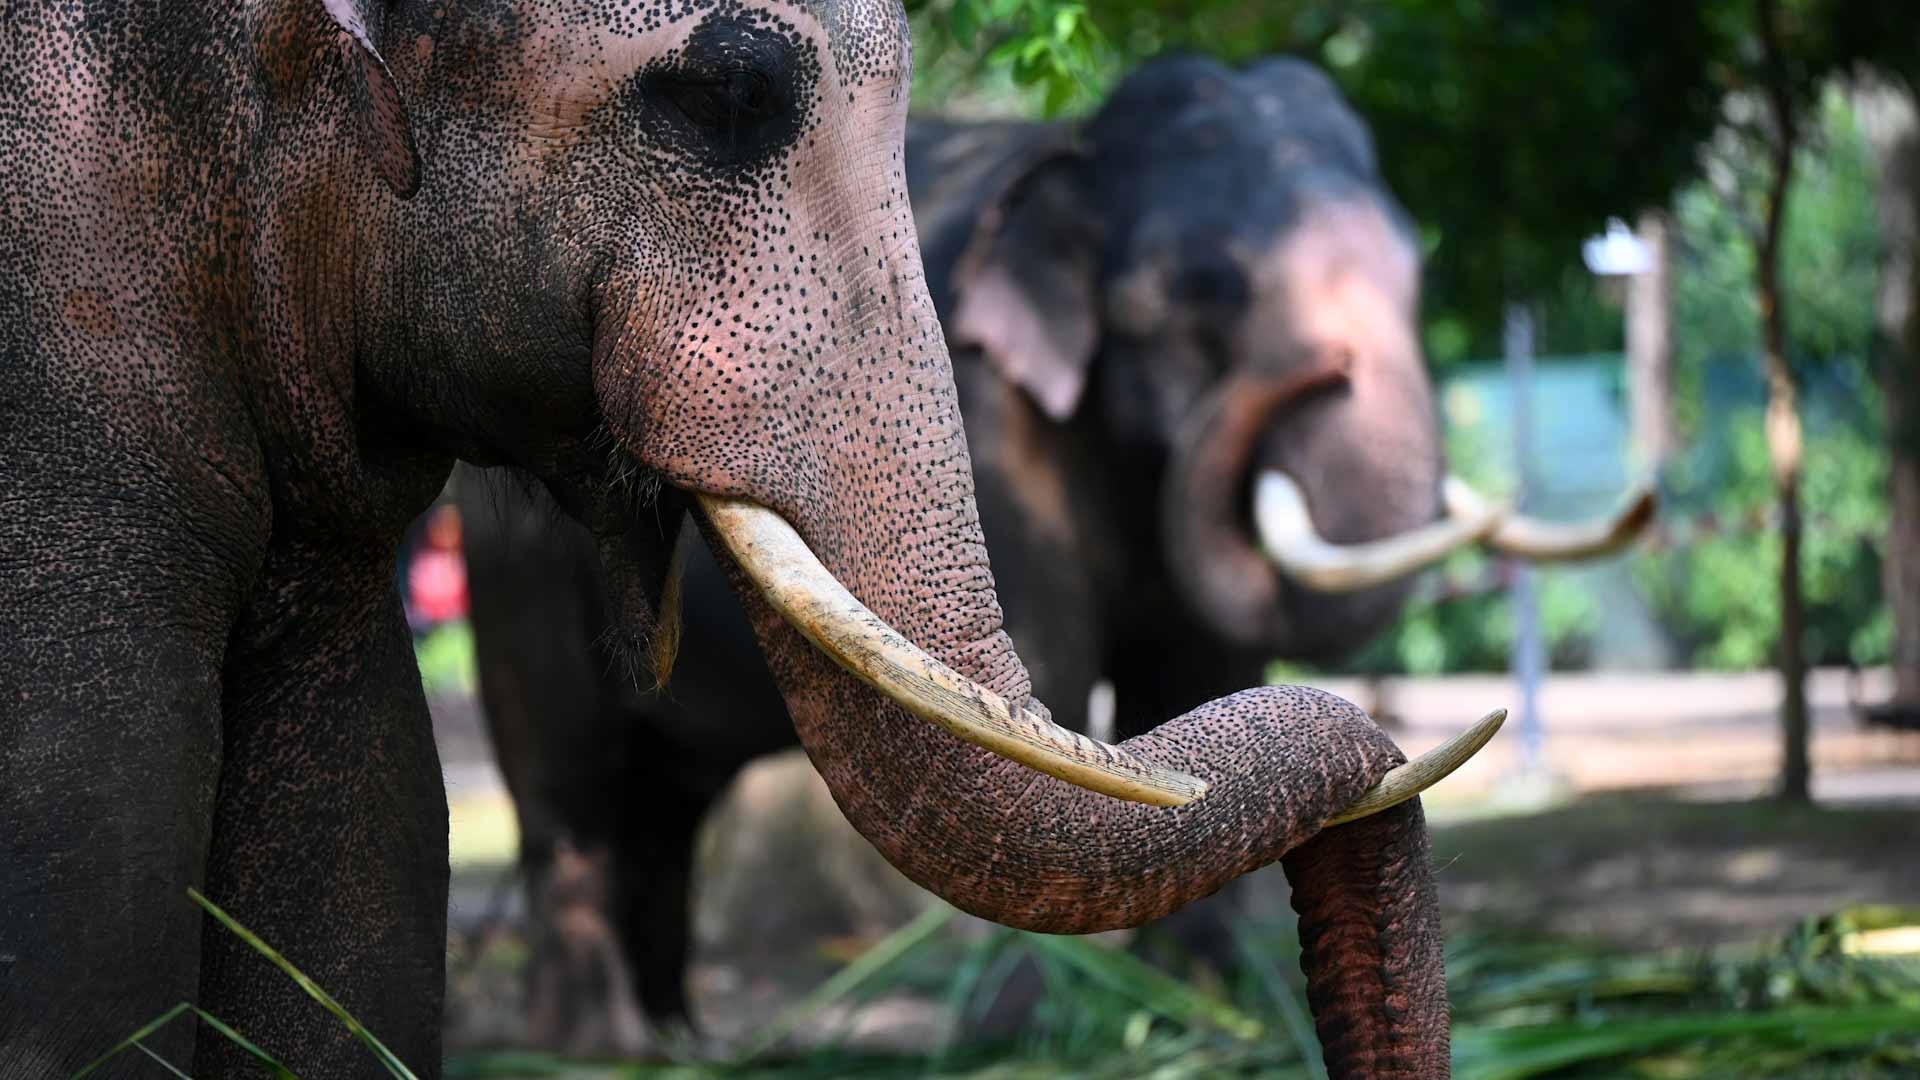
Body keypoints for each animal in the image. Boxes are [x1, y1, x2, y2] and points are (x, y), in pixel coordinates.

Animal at [460, 53, 1643, 1058]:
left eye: (1418, 270)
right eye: (1207, 286)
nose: (1318, 370)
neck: (1076, 153)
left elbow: (1199, 669)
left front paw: (1203, 1011)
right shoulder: (990, 427)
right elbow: (1054, 684)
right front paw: (1022, 1038)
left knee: (666, 799)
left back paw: (678, 1042)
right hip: (512, 570)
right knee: (569, 778)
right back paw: (594, 1051)